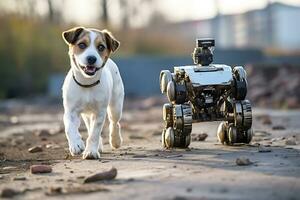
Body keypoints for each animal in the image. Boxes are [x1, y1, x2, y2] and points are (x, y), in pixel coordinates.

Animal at [61, 27, 123, 159]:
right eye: (82, 45)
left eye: (101, 47)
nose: (91, 58)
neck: (87, 84)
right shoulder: (70, 111)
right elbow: (69, 128)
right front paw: (76, 145)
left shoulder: (100, 112)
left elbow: (94, 133)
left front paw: (91, 152)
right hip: (86, 114)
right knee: (89, 126)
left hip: (115, 106)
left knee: (114, 122)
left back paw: (115, 140)